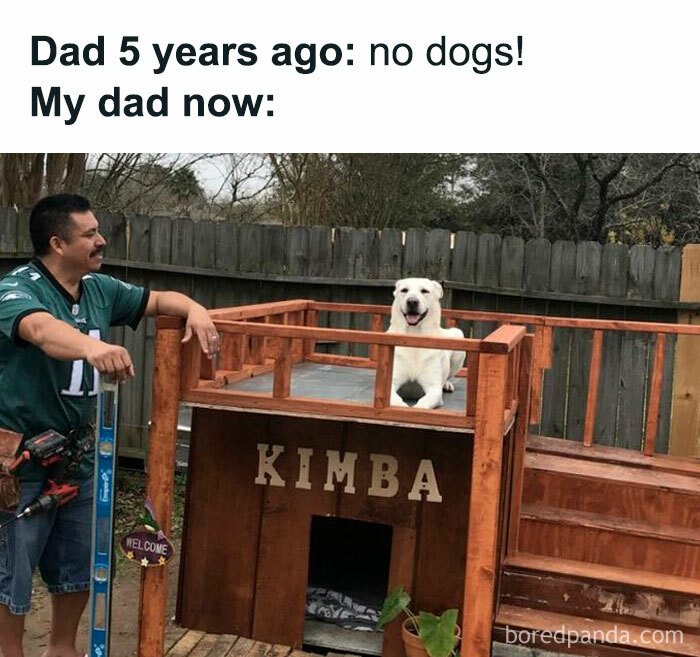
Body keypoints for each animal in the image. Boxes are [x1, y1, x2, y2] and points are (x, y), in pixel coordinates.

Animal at [388, 276, 464, 408]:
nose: (412, 301)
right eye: (404, 290)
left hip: (459, 338)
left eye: (424, 291)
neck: (414, 335)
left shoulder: (433, 388)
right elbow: (396, 402)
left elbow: (422, 404)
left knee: (448, 375)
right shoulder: (390, 383)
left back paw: (446, 384)